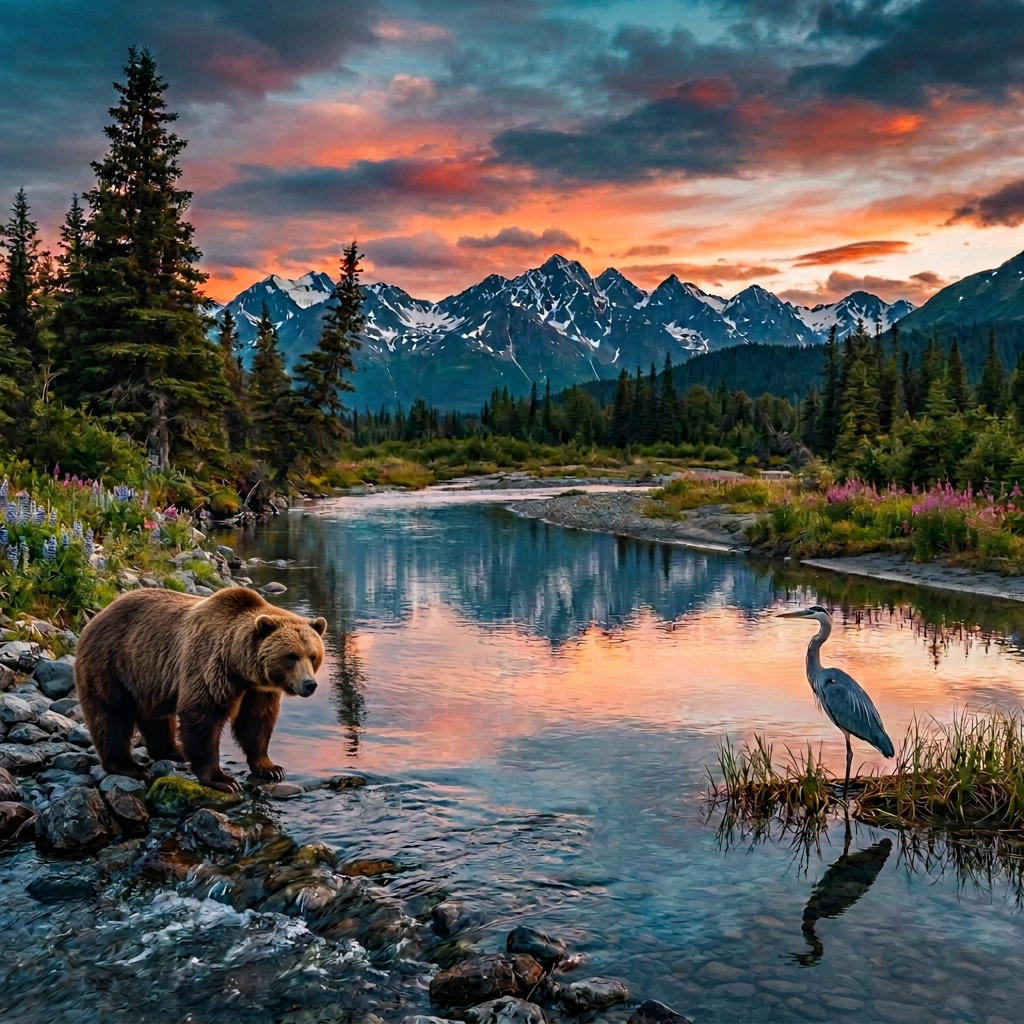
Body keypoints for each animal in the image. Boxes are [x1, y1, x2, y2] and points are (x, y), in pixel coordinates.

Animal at [75, 586, 326, 792]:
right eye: (291, 656)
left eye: (313, 655)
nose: (309, 684)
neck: (240, 667)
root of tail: (95, 616)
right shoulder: (210, 665)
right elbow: (203, 716)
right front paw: (222, 779)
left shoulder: (258, 690)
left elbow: (256, 721)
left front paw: (271, 768)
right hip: (111, 666)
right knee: (112, 717)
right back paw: (130, 766)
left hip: (147, 678)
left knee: (154, 717)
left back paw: (173, 752)